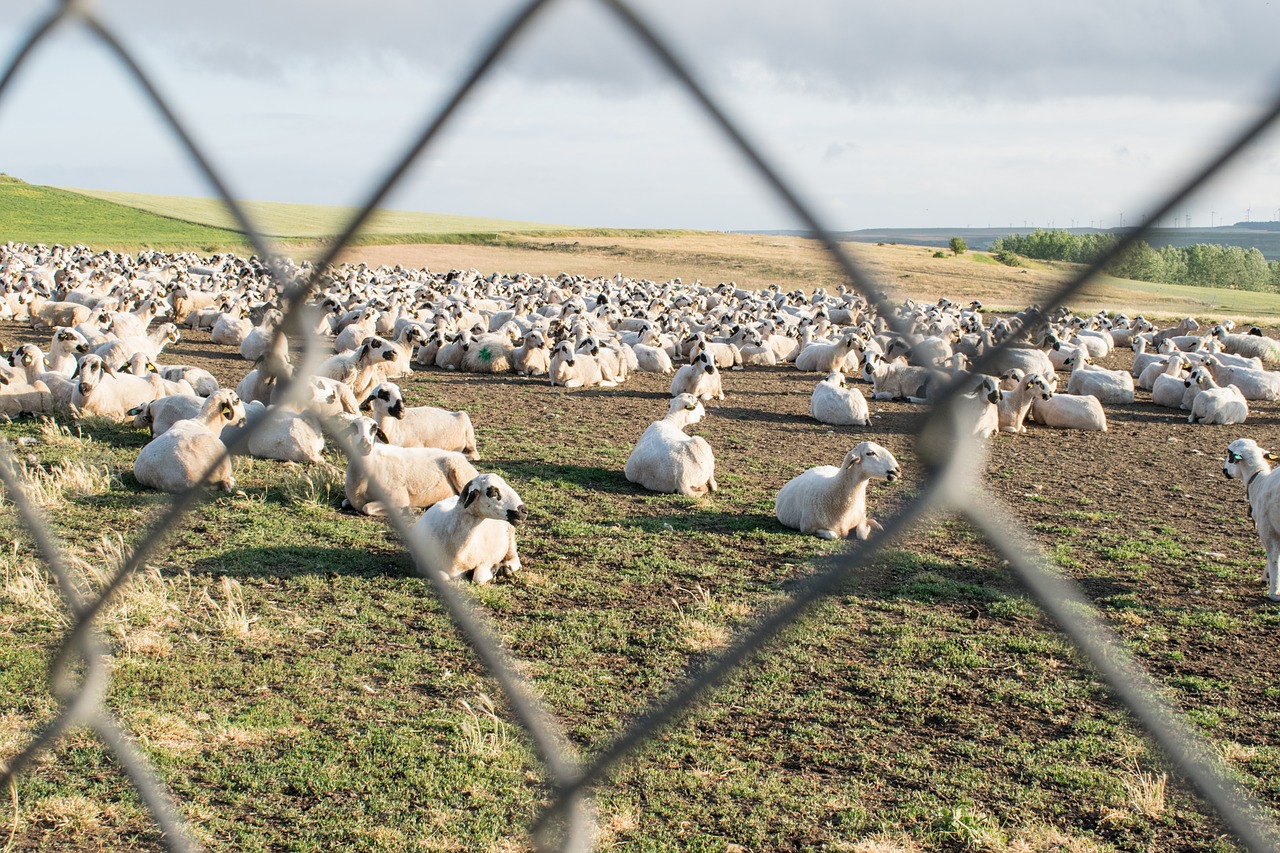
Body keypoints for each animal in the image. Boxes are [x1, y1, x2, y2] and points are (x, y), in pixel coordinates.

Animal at [340, 414, 481, 514]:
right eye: (353, 428)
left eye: (374, 428)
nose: (364, 447)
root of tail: (460, 456)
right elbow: (345, 503)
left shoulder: (398, 497)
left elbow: (367, 508)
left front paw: (410, 510)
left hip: (461, 476)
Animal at [768, 438, 901, 537]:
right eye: (870, 453)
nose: (897, 470)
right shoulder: (807, 528)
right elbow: (834, 535)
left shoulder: (859, 516)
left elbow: (861, 533)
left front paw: (871, 525)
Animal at [1218, 438, 1280, 596]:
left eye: (1229, 452)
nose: (1224, 470)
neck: (1258, 480)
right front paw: (1266, 577)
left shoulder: (1267, 529)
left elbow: (1273, 556)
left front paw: (1274, 591)